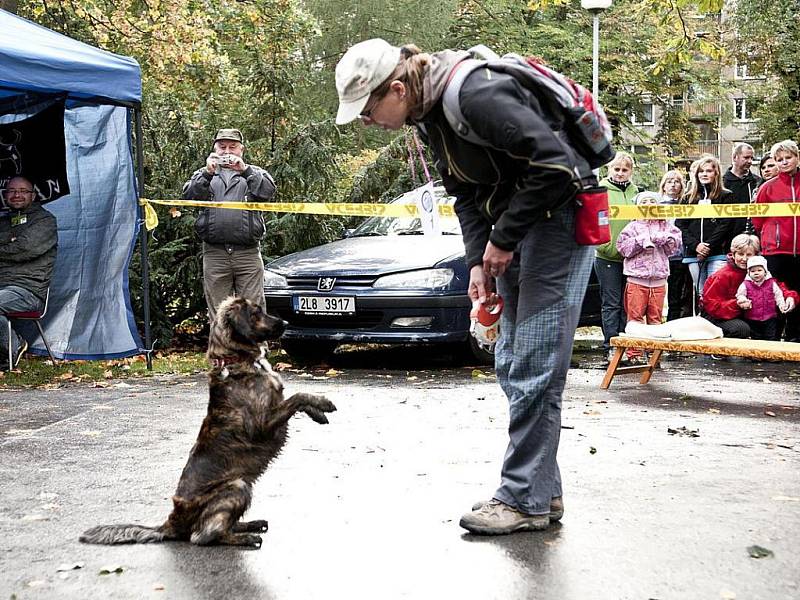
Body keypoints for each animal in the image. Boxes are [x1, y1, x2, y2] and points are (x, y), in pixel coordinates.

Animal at [78, 296, 334, 548]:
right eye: (255, 313)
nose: (287, 323)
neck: (233, 360)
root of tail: (172, 523)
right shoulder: (263, 424)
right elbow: (297, 397)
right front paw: (323, 403)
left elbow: (296, 401)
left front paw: (318, 413)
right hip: (238, 485)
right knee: (204, 536)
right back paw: (244, 538)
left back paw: (249, 524)